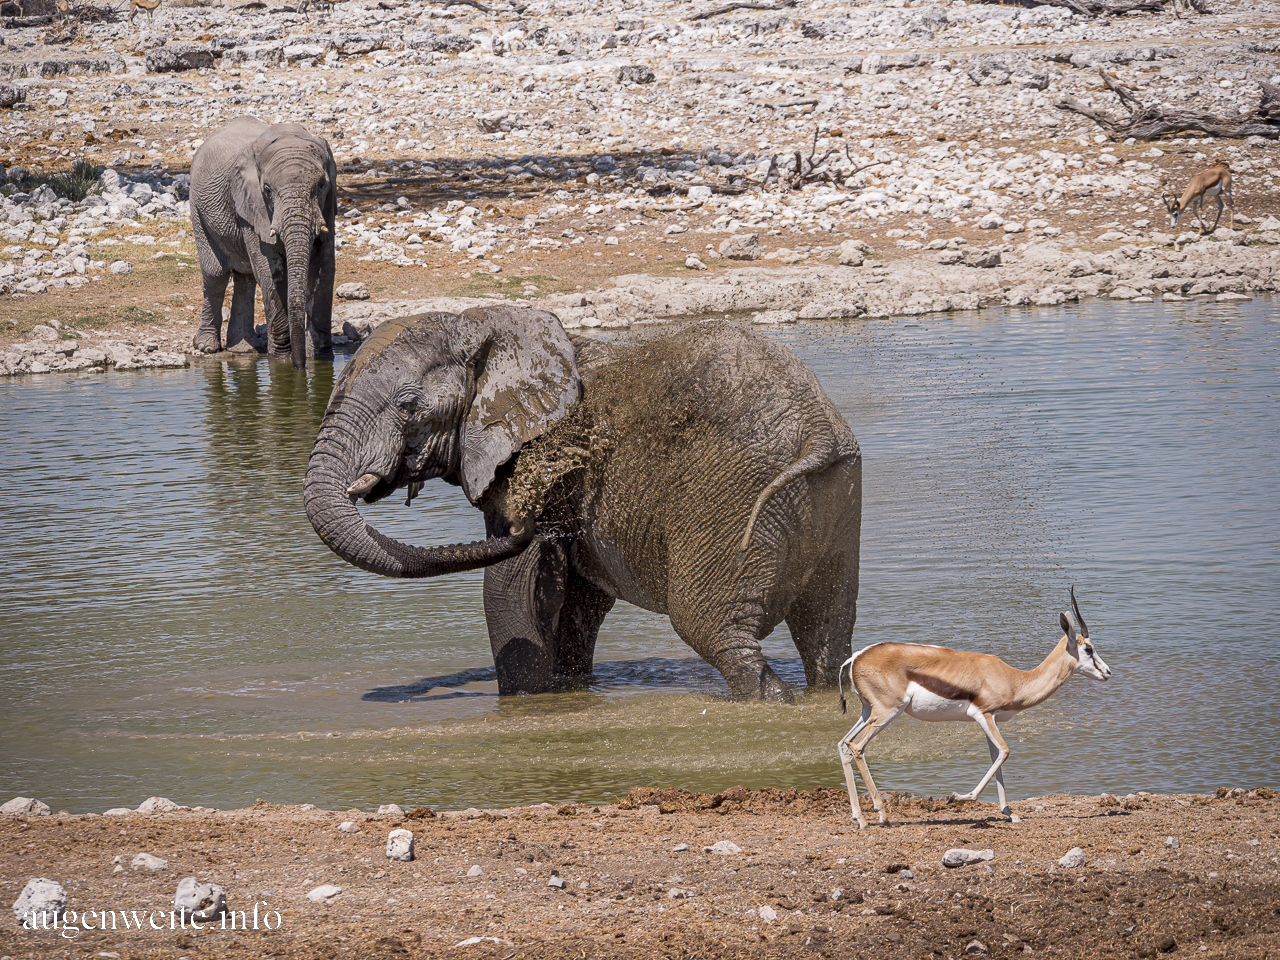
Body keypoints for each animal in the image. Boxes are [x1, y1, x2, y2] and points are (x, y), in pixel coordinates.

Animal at [189, 116, 337, 369]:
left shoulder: (329, 203)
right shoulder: (251, 205)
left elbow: (324, 268)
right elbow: (269, 271)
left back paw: (243, 349)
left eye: (321, 185)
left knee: (245, 278)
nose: (300, 367)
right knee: (216, 275)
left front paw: (322, 358)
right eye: (267, 190)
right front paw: (281, 360)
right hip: (197, 208)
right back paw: (207, 347)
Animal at [304, 306, 862, 702]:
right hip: (834, 498)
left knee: (711, 628)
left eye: (406, 405)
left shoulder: (531, 463)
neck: (479, 322)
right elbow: (576, 601)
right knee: (827, 630)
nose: (526, 523)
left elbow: (511, 590)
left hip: (731, 498)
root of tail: (817, 427)